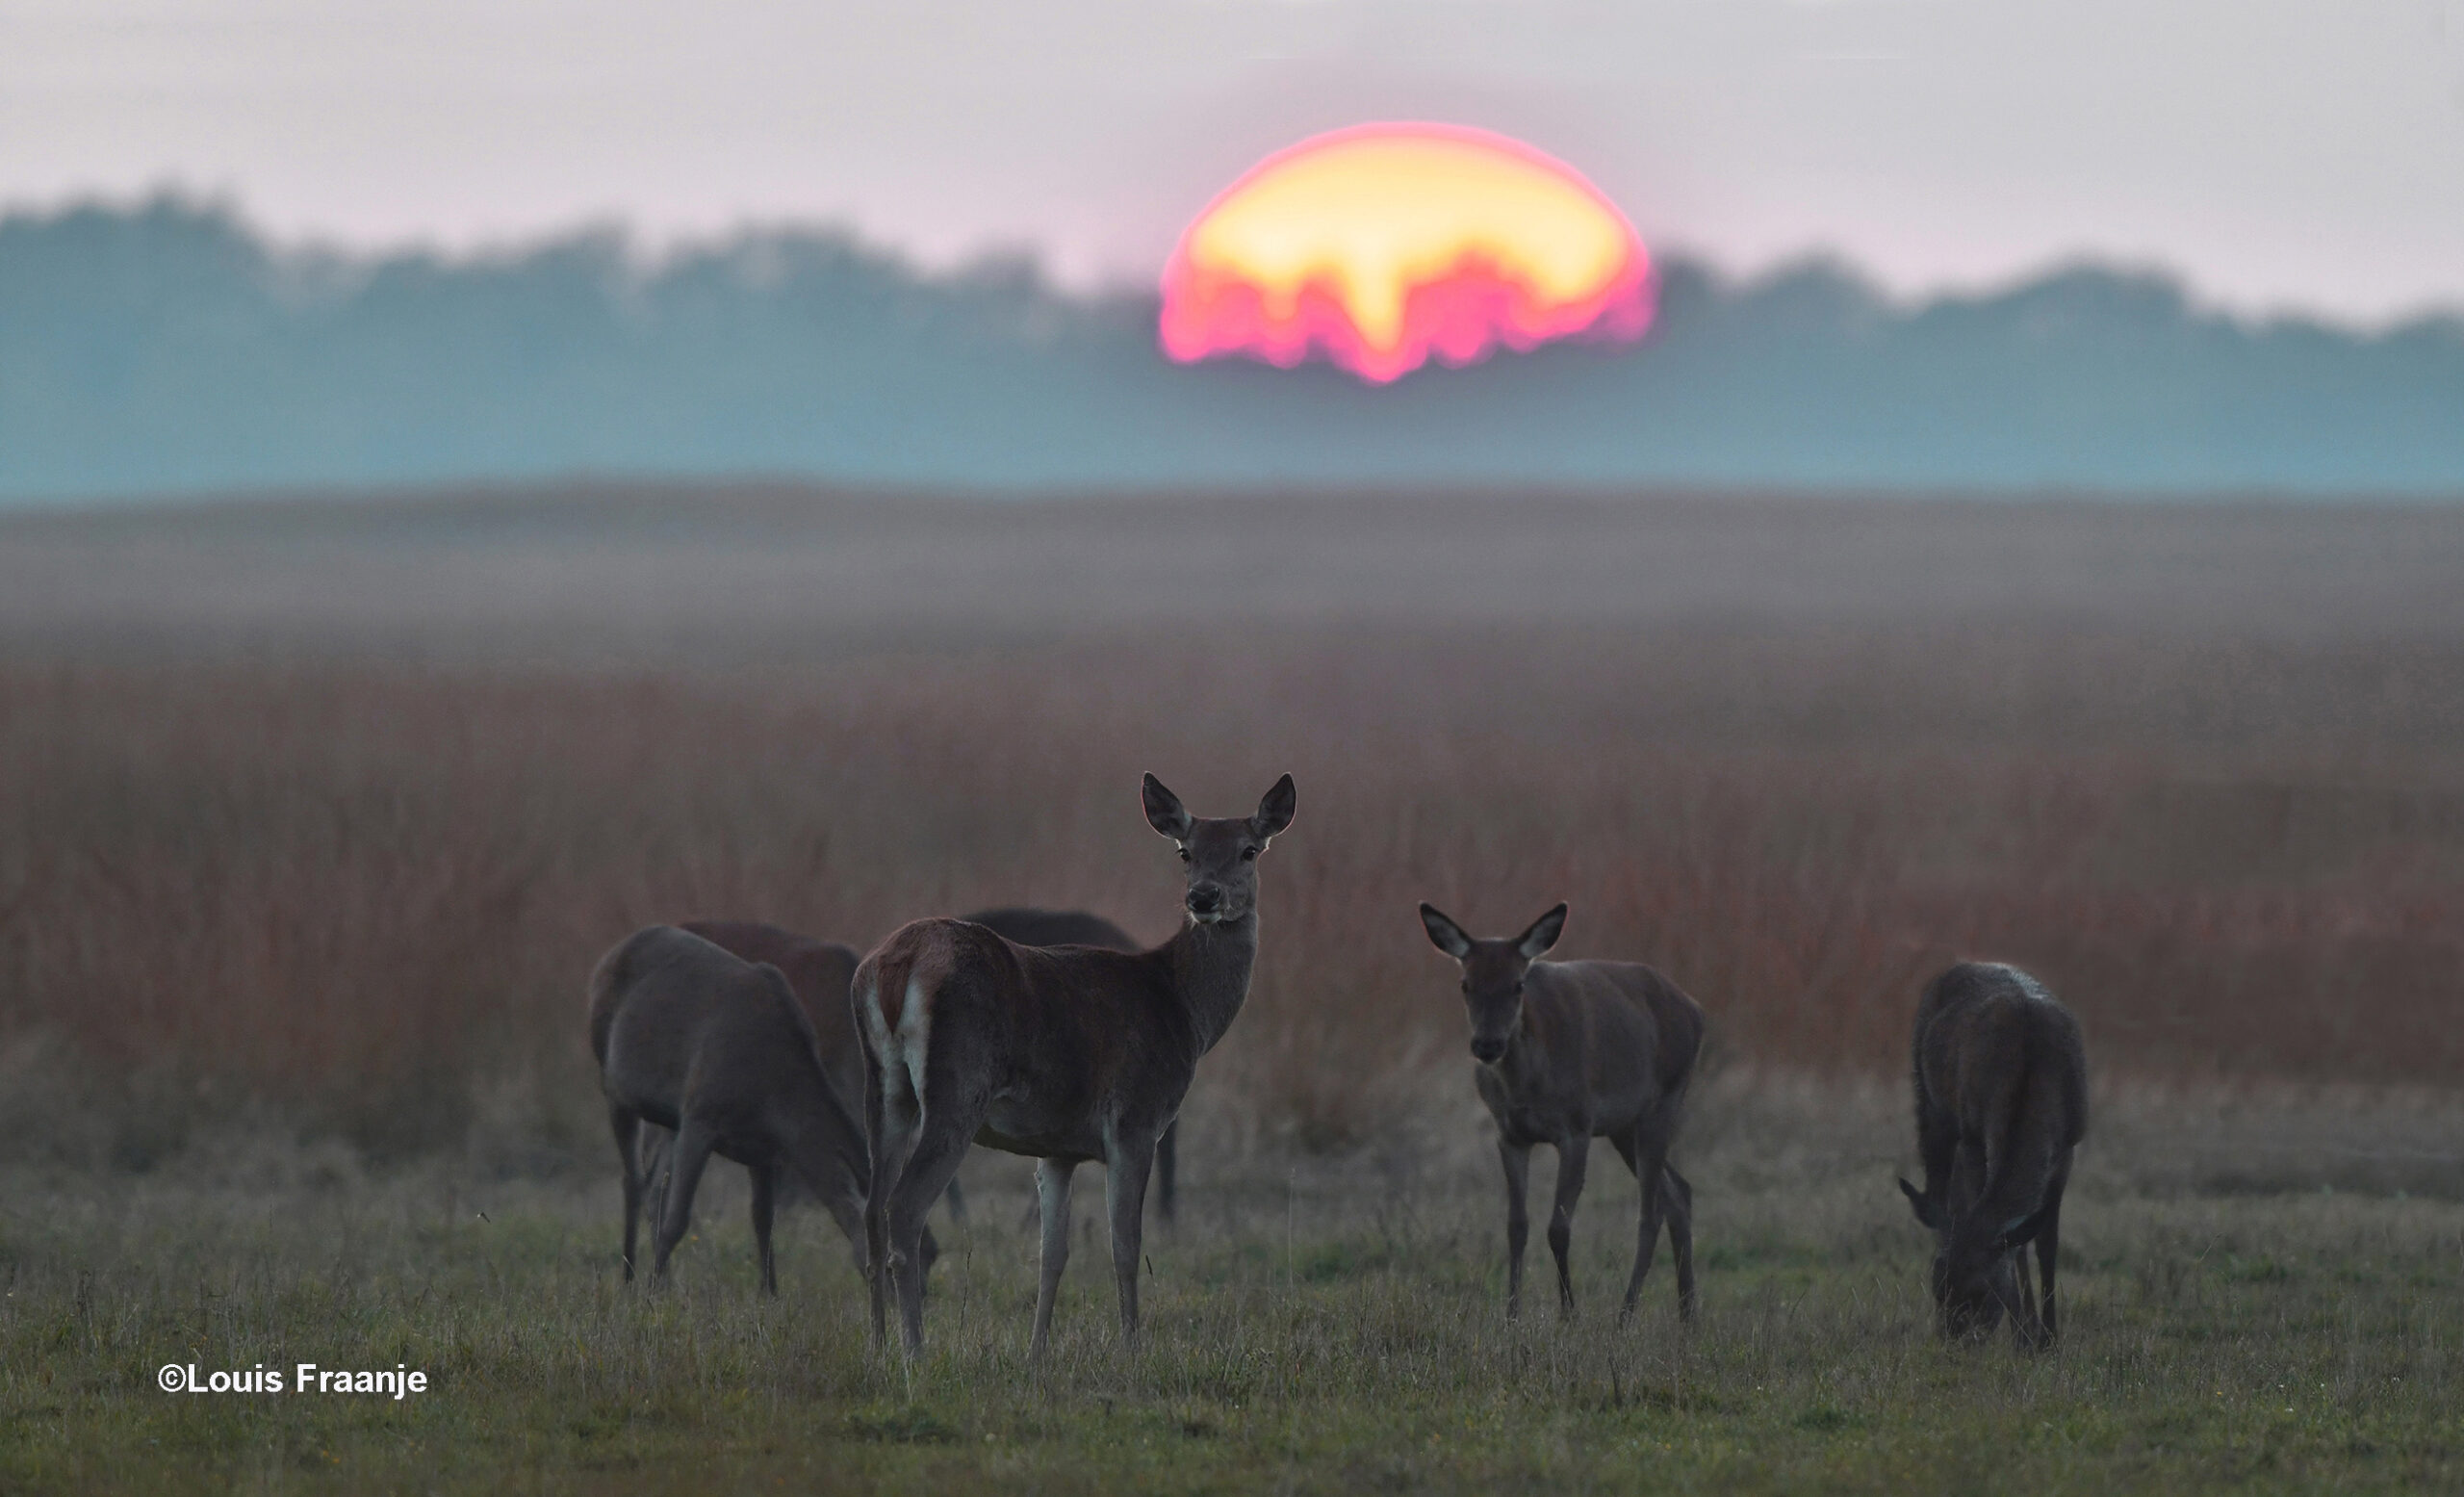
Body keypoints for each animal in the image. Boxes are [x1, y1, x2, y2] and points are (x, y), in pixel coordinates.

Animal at [586, 916, 916, 1292]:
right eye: (889, 1262)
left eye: (929, 1253)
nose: (915, 1298)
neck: (774, 1096)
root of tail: (607, 958)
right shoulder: (699, 1115)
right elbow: (678, 1220)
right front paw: (652, 1290)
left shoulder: (764, 1149)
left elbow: (763, 1221)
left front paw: (770, 1292)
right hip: (613, 1084)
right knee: (633, 1180)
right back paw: (629, 1277)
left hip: (667, 1120)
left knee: (654, 1186)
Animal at [857, 774, 1300, 1361]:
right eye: (1185, 851)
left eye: (1249, 850)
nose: (1203, 897)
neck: (1182, 1008)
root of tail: (896, 964)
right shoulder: (1135, 1120)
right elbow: (1125, 1246)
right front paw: (1133, 1351)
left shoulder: (1057, 1147)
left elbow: (1053, 1255)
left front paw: (1036, 1353)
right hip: (957, 1088)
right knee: (903, 1209)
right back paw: (914, 1353)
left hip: (883, 1089)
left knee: (870, 1209)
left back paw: (878, 1346)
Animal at [1419, 902, 1705, 1322]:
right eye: (1465, 984)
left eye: (1517, 984)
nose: (1487, 1044)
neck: (1529, 1088)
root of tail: (1696, 1010)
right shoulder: (1509, 1135)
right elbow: (1516, 1225)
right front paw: (1512, 1315)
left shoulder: (1577, 1127)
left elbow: (1558, 1228)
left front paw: (1569, 1314)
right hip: (1624, 1126)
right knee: (1678, 1192)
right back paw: (1687, 1317)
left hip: (1665, 1099)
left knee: (1650, 1210)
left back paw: (1625, 1316)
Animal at [1892, 967, 2089, 1351]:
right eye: (1938, 1289)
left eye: (1982, 1292)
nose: (1951, 1341)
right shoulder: (1974, 1135)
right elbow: (2011, 1241)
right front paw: (2024, 1337)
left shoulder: (2067, 1148)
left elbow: (2045, 1243)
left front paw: (2048, 1339)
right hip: (1931, 1104)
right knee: (1939, 1199)